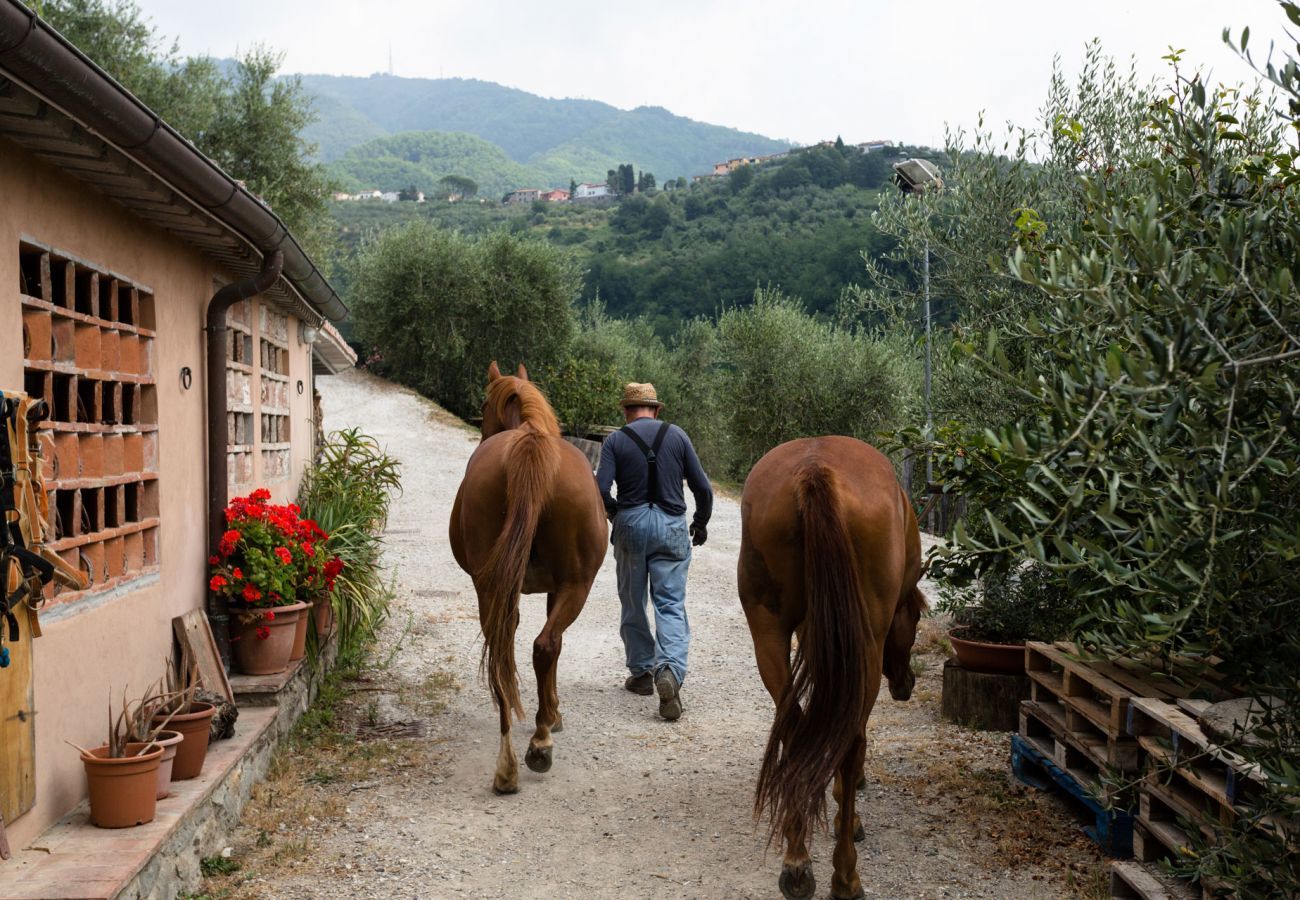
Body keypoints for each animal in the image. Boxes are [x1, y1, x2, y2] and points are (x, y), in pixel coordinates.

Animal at [449, 361, 605, 790]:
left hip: (494, 587)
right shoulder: (556, 589)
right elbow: (555, 647)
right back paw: (537, 743)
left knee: (509, 646)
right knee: (542, 645)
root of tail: (530, 446)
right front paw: (553, 712)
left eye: (483, 406)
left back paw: (512, 760)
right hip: (574, 586)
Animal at [743, 434, 925, 894]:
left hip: (768, 634)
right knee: (849, 743)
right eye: (915, 617)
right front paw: (850, 808)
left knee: (792, 724)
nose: (906, 683)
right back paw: (845, 876)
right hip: (863, 648)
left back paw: (796, 862)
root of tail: (815, 471)